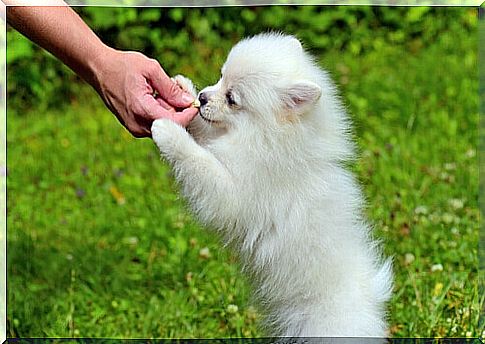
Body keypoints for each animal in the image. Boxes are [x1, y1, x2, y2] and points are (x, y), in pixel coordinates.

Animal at [153, 32, 392, 336]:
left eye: (232, 99)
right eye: (221, 76)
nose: (202, 97)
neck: (268, 138)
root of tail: (368, 302)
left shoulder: (233, 192)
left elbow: (199, 161)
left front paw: (167, 131)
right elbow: (205, 132)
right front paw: (182, 88)